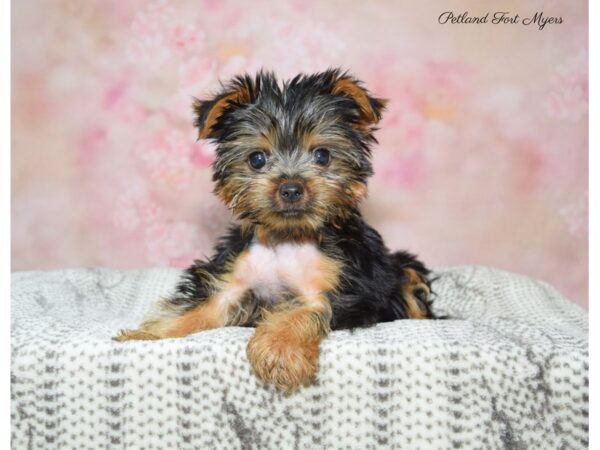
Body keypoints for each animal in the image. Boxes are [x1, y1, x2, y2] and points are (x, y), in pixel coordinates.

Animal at [115, 68, 434, 392]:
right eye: (257, 159)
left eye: (322, 155)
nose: (291, 188)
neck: (286, 238)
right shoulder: (232, 280)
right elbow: (201, 308)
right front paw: (150, 335)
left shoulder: (337, 288)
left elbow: (301, 312)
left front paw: (279, 351)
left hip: (403, 269)